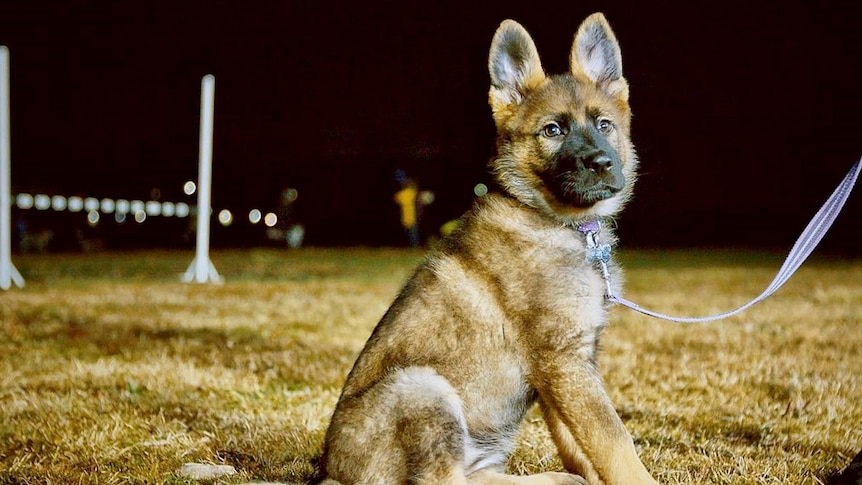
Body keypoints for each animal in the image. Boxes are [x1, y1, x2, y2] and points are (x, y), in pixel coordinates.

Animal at [320, 13, 660, 482]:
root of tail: (329, 473)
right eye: (553, 130)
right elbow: (614, 443)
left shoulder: (566, 366)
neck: (555, 221)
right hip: (421, 388)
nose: (602, 163)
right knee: (443, 479)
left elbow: (580, 446)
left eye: (604, 125)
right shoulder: (563, 360)